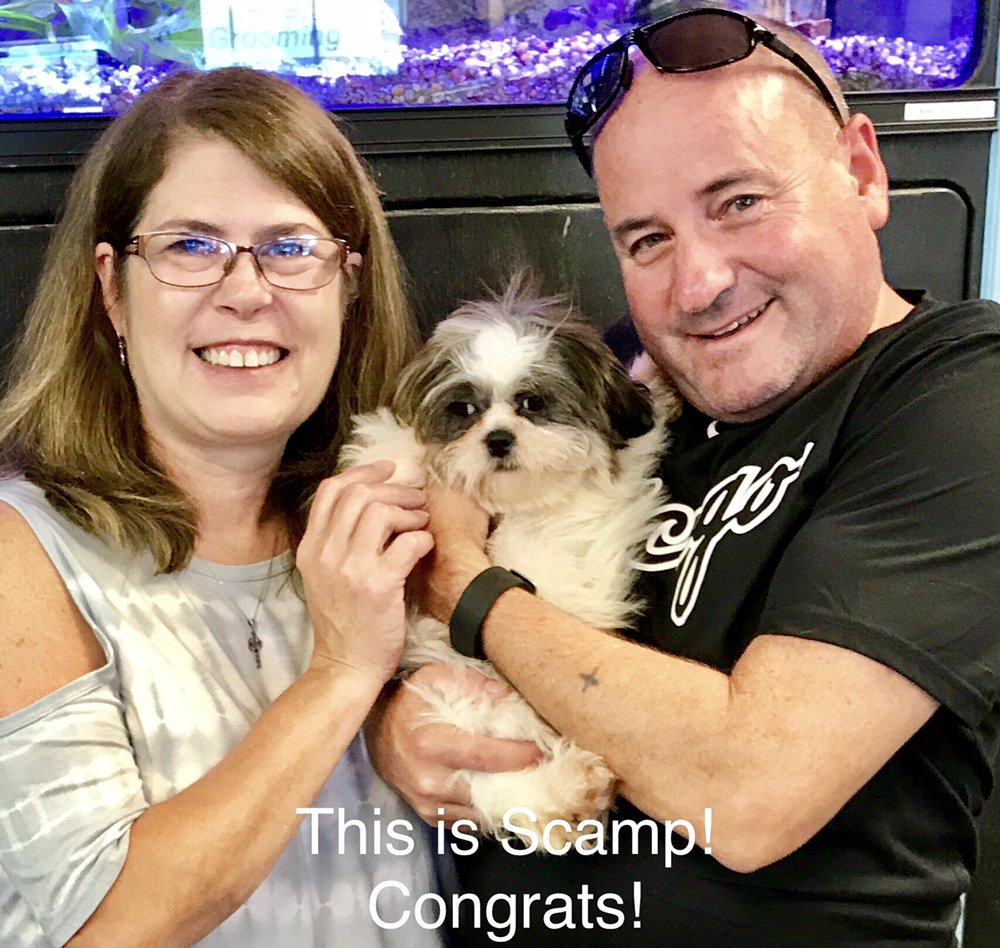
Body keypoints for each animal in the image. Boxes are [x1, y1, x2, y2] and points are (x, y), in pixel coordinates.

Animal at [340, 277, 678, 851]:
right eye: (465, 409)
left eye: (531, 402)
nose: (498, 438)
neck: (515, 505)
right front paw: (393, 456)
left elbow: (637, 441)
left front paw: (654, 379)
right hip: (458, 699)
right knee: (494, 782)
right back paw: (568, 791)